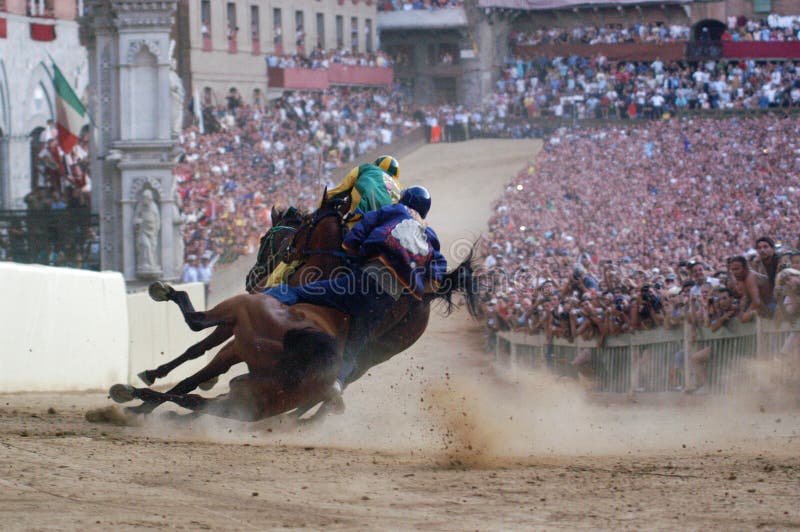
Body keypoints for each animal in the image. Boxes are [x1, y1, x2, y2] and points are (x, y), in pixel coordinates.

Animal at [111, 195, 476, 420]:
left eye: (264, 238)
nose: (253, 276)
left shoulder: (237, 327)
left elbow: (198, 351)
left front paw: (153, 380)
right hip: (372, 355)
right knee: (330, 390)